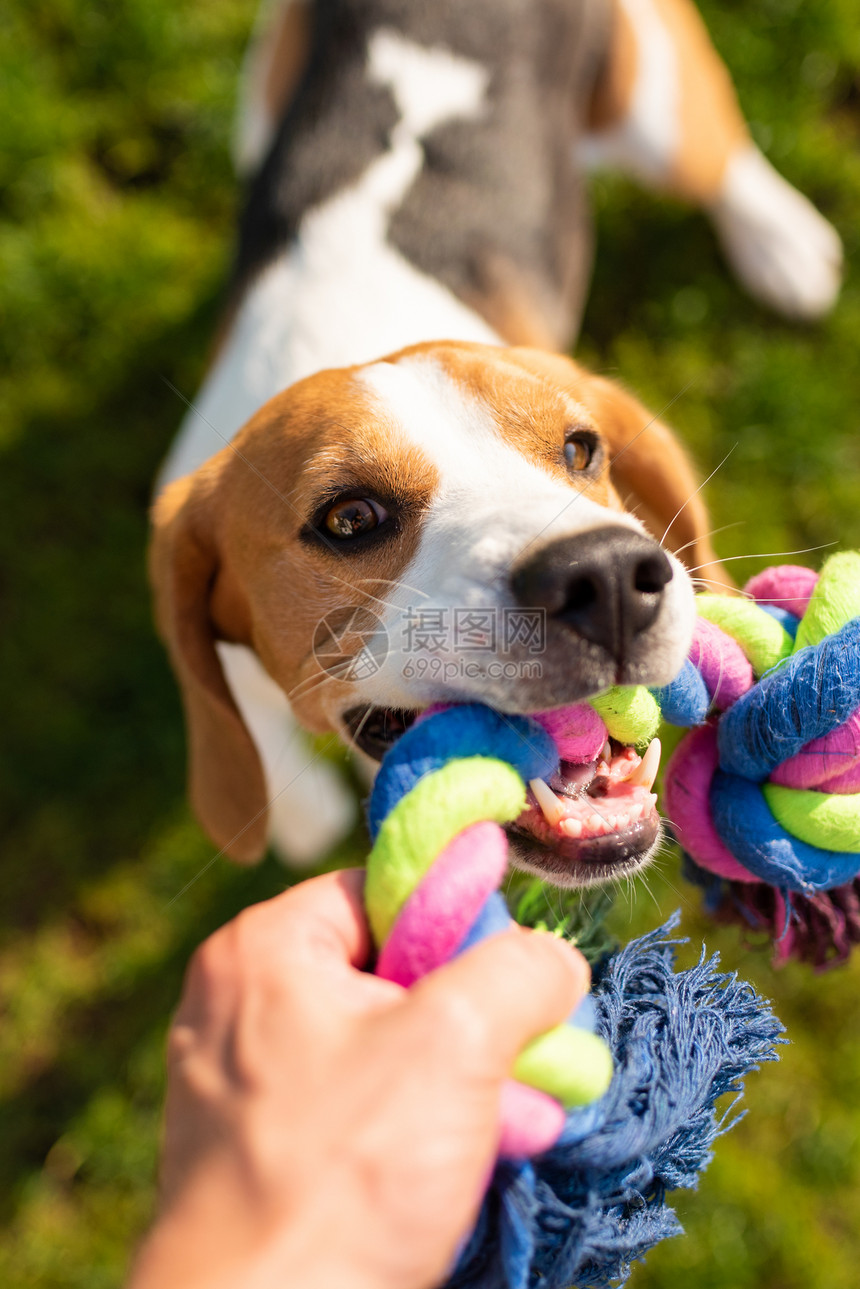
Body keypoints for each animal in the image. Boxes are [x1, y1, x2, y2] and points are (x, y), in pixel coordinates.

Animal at [151, 0, 845, 886]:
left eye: (581, 449)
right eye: (349, 518)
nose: (607, 576)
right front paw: (293, 803)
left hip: (653, 104)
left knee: (719, 154)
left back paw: (779, 240)